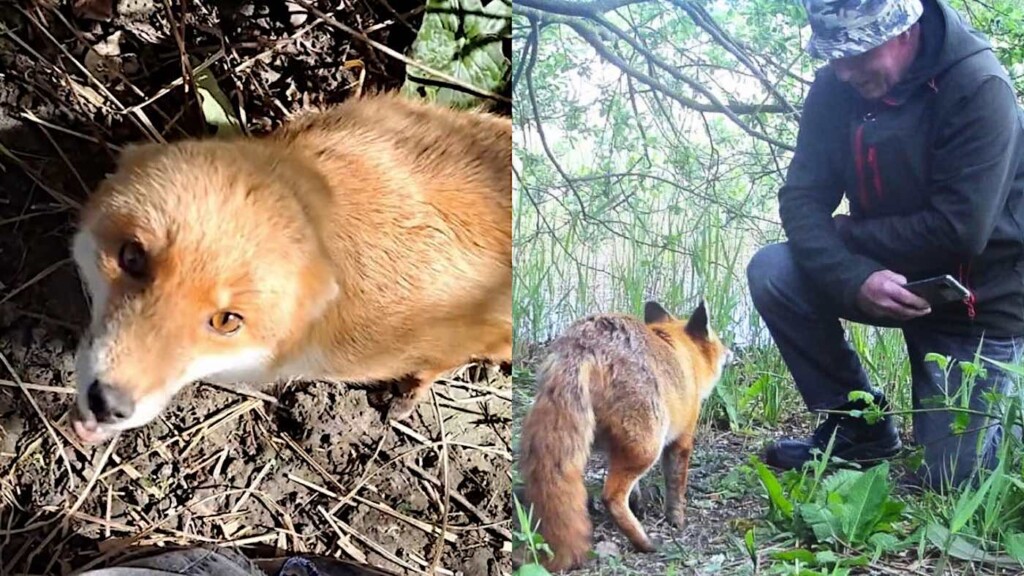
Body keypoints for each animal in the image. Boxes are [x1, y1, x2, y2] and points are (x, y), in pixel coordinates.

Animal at [517, 300, 732, 572]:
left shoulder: (617, 448)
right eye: (718, 341)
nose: (731, 352)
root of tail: (584, 345)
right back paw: (643, 542)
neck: (681, 353)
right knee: (611, 496)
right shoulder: (681, 439)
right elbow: (676, 486)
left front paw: (639, 506)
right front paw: (676, 519)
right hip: (648, 447)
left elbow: (637, 488)